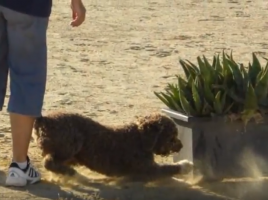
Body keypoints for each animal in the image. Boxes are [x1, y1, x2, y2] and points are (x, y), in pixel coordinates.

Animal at [33, 111, 193, 179]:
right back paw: (69, 171)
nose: (181, 146)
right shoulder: (148, 169)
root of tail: (44, 120)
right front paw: (186, 165)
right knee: (49, 162)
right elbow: (170, 168)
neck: (140, 138)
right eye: (172, 137)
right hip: (73, 142)